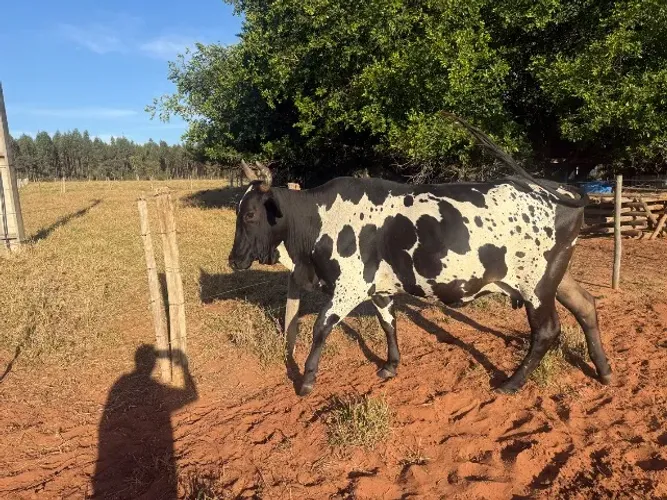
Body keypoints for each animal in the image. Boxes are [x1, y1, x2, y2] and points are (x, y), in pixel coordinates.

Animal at [228, 114, 612, 397]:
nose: (233, 261)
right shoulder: (380, 289)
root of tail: (559, 187)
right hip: (555, 276)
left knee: (546, 332)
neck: (319, 219)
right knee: (586, 305)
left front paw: (307, 379)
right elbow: (388, 324)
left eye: (250, 214)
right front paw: (391, 365)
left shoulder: (348, 287)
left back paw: (512, 383)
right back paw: (605, 370)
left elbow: (321, 328)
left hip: (535, 285)